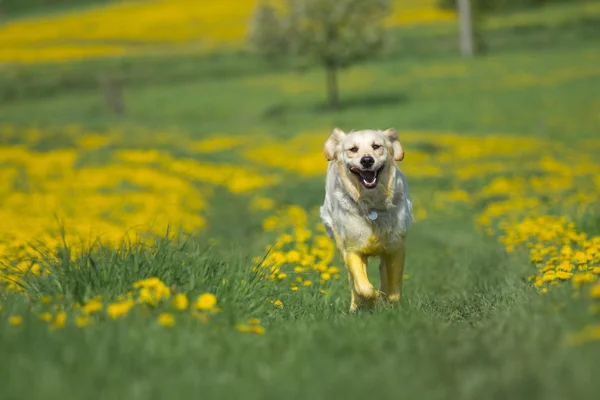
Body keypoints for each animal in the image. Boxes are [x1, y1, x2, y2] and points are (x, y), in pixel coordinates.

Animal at [318, 126, 412, 310]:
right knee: (353, 282)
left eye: (376, 146)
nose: (367, 160)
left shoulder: (396, 247)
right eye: (353, 149)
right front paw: (374, 300)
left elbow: (394, 286)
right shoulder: (352, 249)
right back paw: (356, 306)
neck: (372, 205)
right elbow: (363, 287)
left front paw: (389, 304)